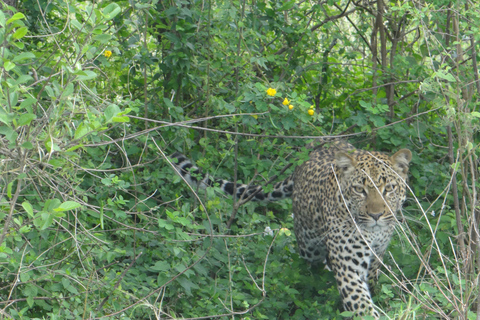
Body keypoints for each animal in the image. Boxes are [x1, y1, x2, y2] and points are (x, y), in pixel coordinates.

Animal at [171, 141, 410, 318]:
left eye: (389, 188)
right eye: (359, 189)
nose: (376, 215)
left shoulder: (378, 253)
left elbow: (374, 278)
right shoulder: (349, 266)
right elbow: (362, 305)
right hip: (308, 244)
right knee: (313, 262)